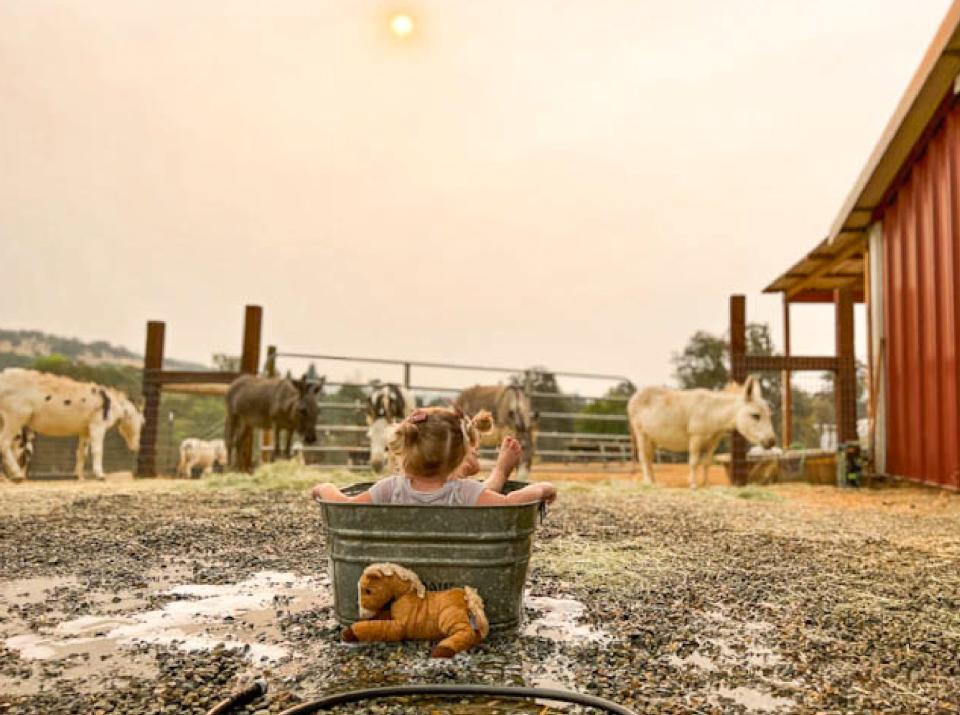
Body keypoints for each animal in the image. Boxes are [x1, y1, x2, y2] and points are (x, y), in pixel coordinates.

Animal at [0, 370, 142, 482]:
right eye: (141, 422)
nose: (137, 446)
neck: (112, 403)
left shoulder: (85, 431)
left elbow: (81, 453)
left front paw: (79, 477)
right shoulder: (97, 426)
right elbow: (97, 450)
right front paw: (100, 475)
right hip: (15, 418)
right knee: (4, 443)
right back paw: (16, 476)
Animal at [632, 378, 780, 490]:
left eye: (769, 415)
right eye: (756, 416)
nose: (772, 442)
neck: (713, 412)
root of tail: (635, 396)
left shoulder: (713, 441)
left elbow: (707, 463)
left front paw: (706, 484)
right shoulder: (696, 437)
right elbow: (694, 462)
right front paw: (693, 485)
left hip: (652, 438)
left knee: (649, 458)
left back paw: (654, 481)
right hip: (641, 434)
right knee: (643, 457)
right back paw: (648, 483)